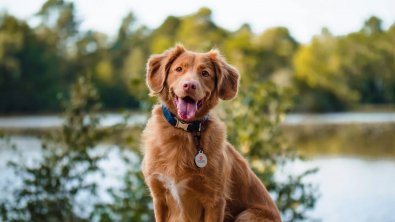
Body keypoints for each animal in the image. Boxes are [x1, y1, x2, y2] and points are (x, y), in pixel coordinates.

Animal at [142, 44, 282, 221]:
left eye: (205, 73)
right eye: (179, 69)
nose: (190, 85)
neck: (184, 132)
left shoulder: (215, 200)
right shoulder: (159, 197)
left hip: (248, 214)